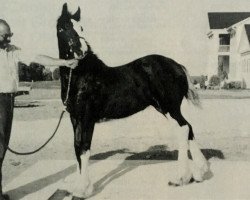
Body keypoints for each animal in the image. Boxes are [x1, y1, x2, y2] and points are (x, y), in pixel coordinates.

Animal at [56, 3, 209, 198]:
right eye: (63, 28)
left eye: (81, 28)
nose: (80, 51)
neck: (81, 76)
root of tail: (178, 67)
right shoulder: (75, 118)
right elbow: (76, 148)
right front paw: (78, 186)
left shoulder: (88, 118)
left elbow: (84, 148)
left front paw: (84, 189)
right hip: (165, 108)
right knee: (187, 128)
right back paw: (200, 172)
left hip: (169, 107)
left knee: (183, 129)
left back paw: (180, 178)